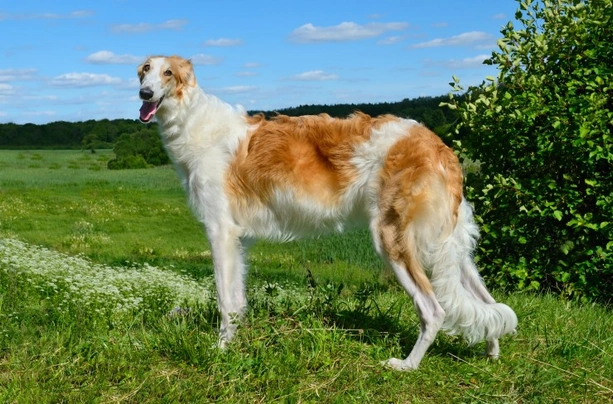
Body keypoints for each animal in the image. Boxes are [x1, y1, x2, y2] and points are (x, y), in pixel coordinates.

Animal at [136, 55, 512, 370]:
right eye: (144, 69)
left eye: (168, 73)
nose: (144, 93)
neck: (195, 123)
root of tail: (437, 145)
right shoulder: (239, 239)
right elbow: (238, 300)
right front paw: (237, 342)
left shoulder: (220, 231)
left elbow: (225, 301)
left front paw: (220, 349)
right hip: (449, 246)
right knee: (489, 304)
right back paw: (492, 353)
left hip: (394, 239)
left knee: (434, 310)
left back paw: (407, 365)